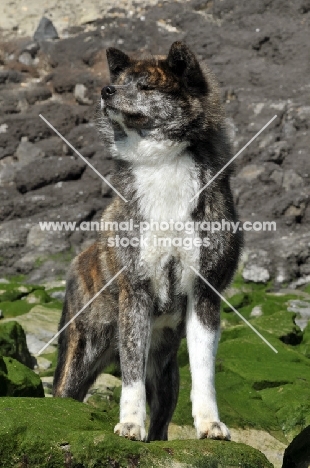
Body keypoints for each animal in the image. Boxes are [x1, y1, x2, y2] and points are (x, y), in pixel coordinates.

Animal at [53, 41, 242, 442]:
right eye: (120, 81)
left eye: (146, 86)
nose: (105, 91)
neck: (162, 163)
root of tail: (81, 258)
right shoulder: (136, 294)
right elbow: (131, 376)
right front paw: (128, 424)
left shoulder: (204, 296)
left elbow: (204, 372)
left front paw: (210, 424)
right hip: (82, 350)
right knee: (65, 392)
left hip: (167, 374)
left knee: (163, 416)